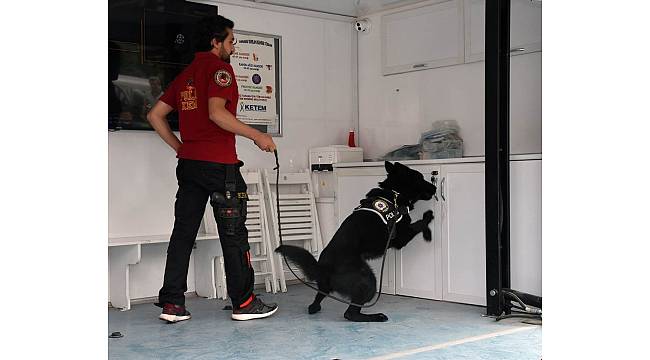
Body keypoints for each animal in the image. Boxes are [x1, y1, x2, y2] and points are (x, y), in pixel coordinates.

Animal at [274, 162, 436, 322]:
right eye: (421, 178)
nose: (435, 188)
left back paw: (315, 306)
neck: (394, 193)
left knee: (319, 297)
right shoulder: (400, 237)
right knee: (350, 313)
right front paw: (428, 223)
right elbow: (419, 224)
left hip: (328, 285)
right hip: (368, 280)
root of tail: (322, 267)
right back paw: (375, 316)